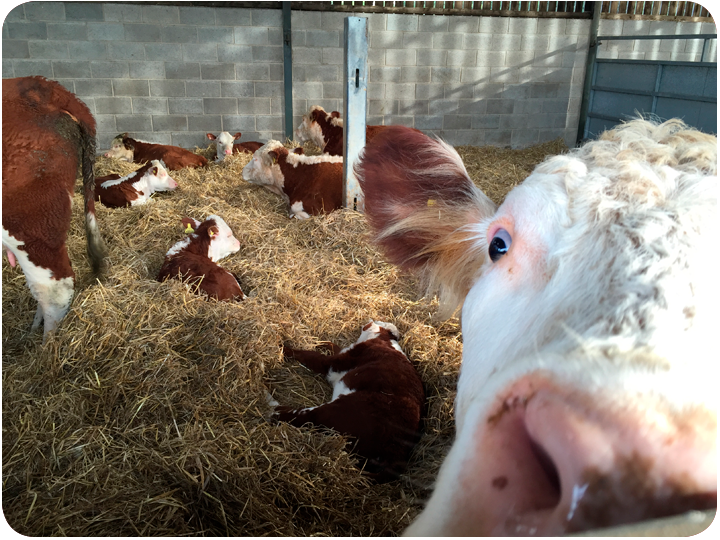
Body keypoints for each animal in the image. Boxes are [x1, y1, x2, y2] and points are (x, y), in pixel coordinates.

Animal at [272, 320, 425, 482]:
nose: (369, 321)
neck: (383, 340)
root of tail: (397, 454)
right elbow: (334, 346)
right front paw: (321, 343)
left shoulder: (333, 363)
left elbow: (310, 355)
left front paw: (282, 348)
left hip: (341, 409)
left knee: (304, 416)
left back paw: (271, 407)